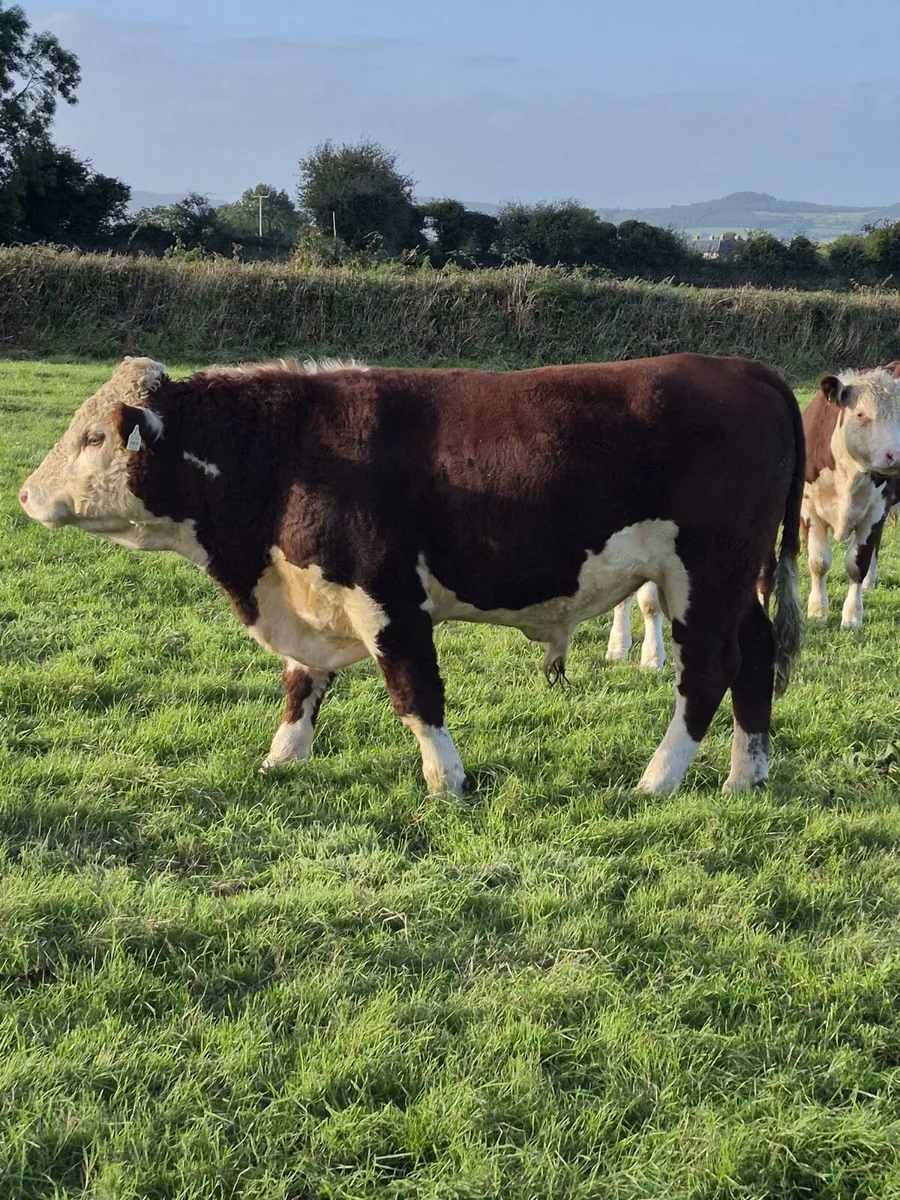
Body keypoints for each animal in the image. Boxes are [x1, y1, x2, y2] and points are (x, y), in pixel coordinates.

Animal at [19, 352, 804, 796]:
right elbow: (302, 686)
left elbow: (414, 693)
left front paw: (446, 780)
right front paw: (282, 761)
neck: (289, 451)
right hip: (737, 581)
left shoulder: (387, 598)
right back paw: (746, 774)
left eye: (93, 436)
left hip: (706, 573)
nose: (24, 494)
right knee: (755, 655)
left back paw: (658, 780)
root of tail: (746, 369)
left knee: (708, 669)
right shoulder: (311, 596)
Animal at [802, 361, 900, 629]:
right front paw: (817, 611)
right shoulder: (808, 509)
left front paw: (852, 616)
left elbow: (857, 563)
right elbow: (818, 561)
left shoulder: (875, 512)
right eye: (861, 414)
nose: (895, 455)